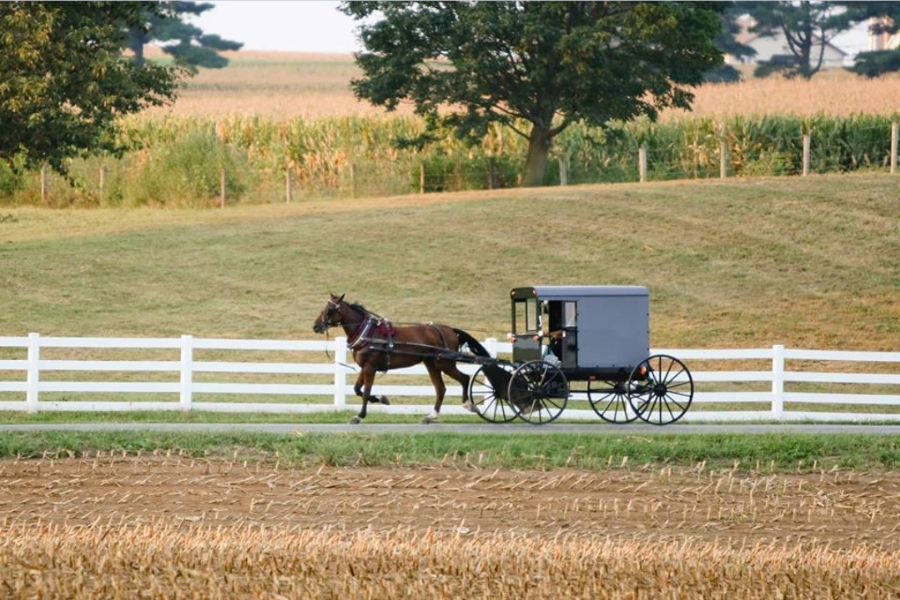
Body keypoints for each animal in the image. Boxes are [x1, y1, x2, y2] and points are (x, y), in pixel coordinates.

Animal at [312, 292, 492, 424]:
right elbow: (357, 389)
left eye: (329, 310)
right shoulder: (365, 367)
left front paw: (359, 416)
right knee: (440, 388)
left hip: (445, 363)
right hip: (431, 364)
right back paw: (431, 416)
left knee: (464, 378)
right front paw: (381, 399)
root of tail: (449, 329)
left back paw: (468, 405)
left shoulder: (370, 367)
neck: (367, 333)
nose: (315, 326)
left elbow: (365, 391)